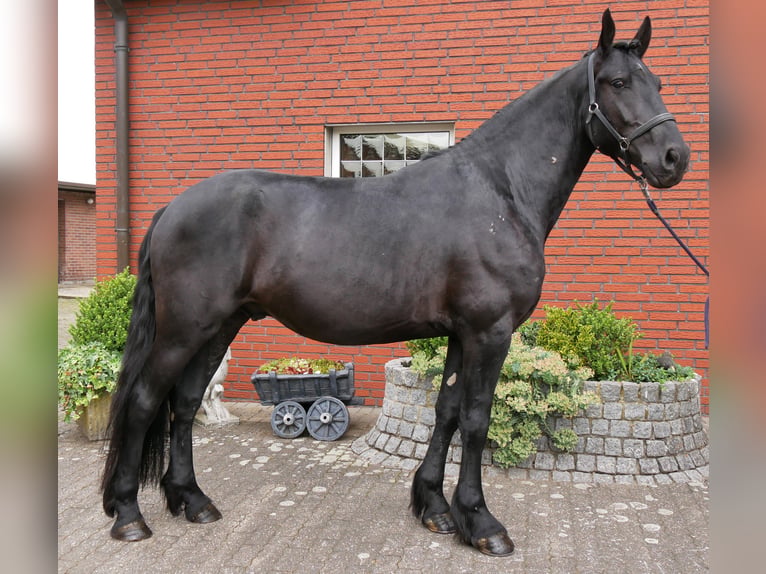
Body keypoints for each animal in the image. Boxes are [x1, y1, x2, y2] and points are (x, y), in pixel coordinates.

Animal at [101, 9, 689, 556]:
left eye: (658, 82)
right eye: (618, 83)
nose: (674, 158)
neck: (500, 190)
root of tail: (172, 208)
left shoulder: (462, 333)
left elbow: (446, 413)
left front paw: (434, 507)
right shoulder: (490, 331)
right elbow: (475, 419)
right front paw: (481, 522)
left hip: (220, 327)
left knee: (184, 403)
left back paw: (192, 500)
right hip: (183, 330)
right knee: (146, 401)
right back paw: (129, 514)